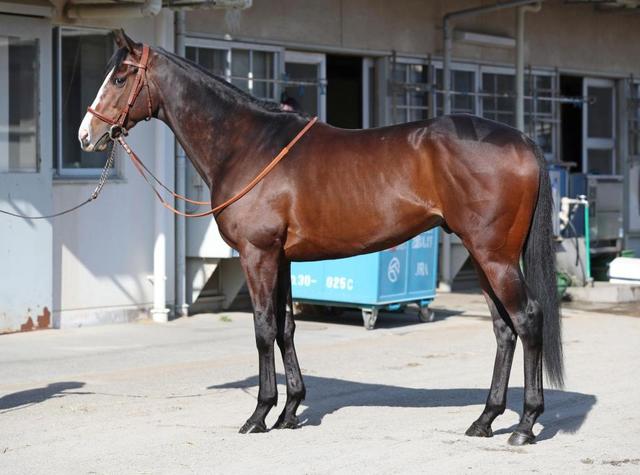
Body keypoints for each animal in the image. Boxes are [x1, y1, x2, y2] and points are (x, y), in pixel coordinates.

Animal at [78, 30, 563, 446]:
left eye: (119, 77)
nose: (87, 134)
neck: (247, 144)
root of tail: (523, 140)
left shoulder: (257, 255)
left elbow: (262, 329)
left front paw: (260, 413)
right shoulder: (282, 258)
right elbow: (286, 328)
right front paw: (290, 411)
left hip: (494, 256)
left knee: (527, 320)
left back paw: (525, 424)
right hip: (483, 257)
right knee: (503, 330)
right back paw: (485, 419)